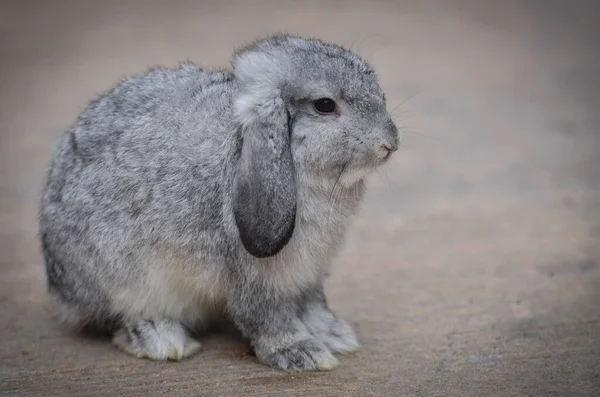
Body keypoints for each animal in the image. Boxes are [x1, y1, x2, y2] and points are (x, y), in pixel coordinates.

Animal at [39, 34, 400, 372]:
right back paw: (162, 339)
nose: (390, 143)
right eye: (325, 105)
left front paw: (335, 335)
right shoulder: (252, 275)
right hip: (123, 277)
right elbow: (265, 316)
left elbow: (312, 304)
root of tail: (59, 287)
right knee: (120, 317)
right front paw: (300, 353)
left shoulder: (309, 272)